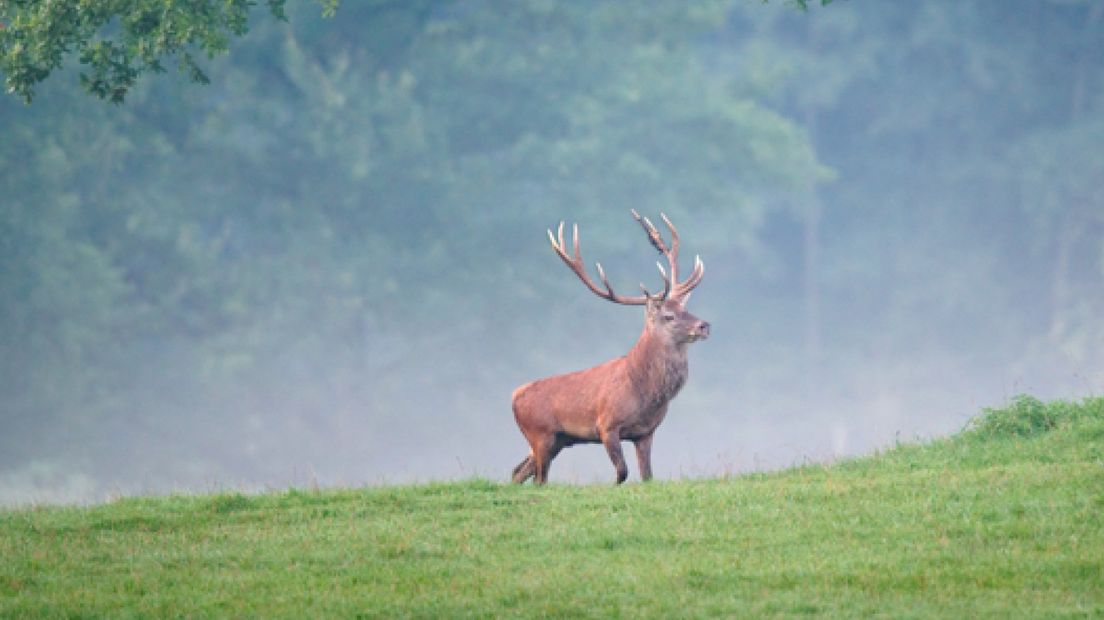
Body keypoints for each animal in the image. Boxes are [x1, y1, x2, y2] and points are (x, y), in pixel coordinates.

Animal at [507, 210, 706, 483]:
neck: (645, 393)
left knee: (518, 472)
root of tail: (514, 395)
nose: (704, 325)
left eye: (685, 309)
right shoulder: (606, 425)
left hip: (557, 440)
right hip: (540, 434)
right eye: (669, 316)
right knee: (539, 478)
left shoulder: (646, 432)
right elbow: (622, 472)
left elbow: (648, 475)